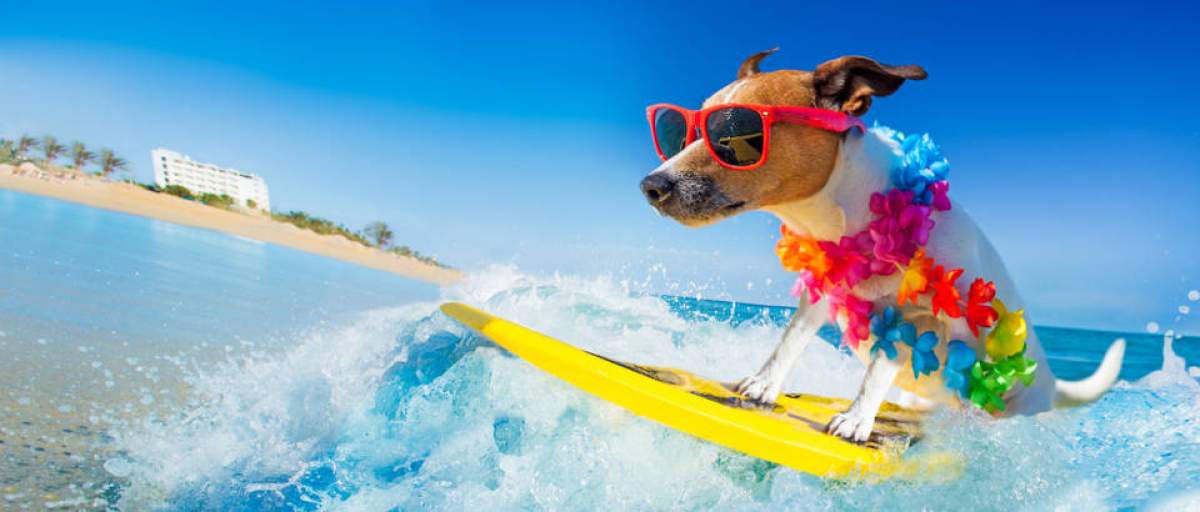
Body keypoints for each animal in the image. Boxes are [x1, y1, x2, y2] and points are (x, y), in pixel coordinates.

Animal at [638, 53, 1123, 446]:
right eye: (683, 132)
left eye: (736, 132)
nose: (651, 186)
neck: (850, 216)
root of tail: (1052, 381)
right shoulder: (822, 291)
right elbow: (790, 340)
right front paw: (762, 385)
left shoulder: (917, 316)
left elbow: (878, 370)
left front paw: (855, 421)